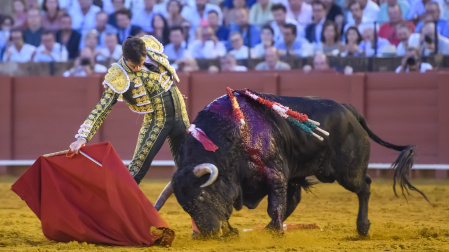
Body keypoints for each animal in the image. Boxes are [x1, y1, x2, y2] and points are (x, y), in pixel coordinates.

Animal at [154, 91, 428, 239]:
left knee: (365, 186)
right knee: (296, 198)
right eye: (185, 206)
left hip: (347, 172)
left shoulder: (275, 174)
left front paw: (275, 232)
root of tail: (349, 110)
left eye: (201, 196)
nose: (208, 233)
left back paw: (362, 228)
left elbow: (274, 205)